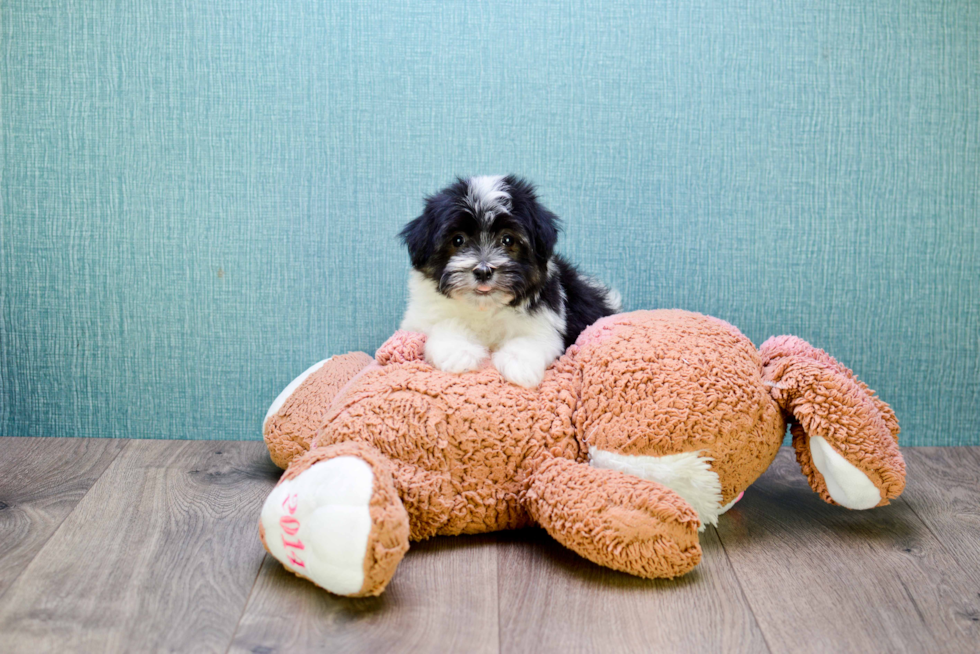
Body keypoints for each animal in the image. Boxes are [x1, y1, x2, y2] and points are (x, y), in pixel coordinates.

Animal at [398, 176, 620, 390]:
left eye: (507, 240)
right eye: (458, 240)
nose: (483, 271)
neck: (483, 308)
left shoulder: (547, 320)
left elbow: (535, 338)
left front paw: (519, 364)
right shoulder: (419, 319)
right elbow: (442, 324)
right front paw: (459, 352)